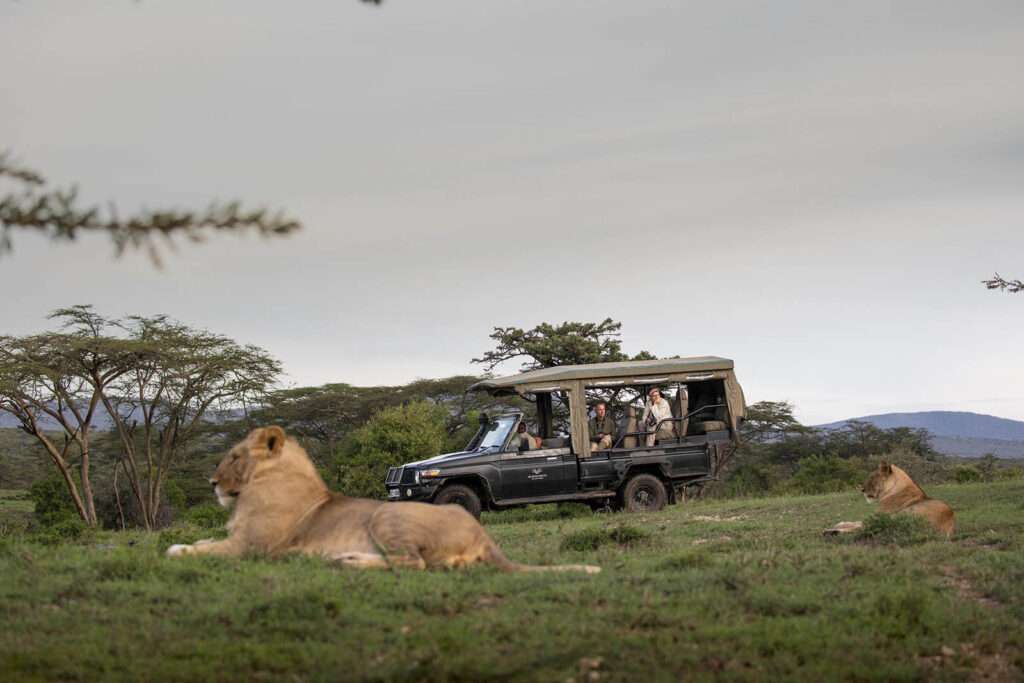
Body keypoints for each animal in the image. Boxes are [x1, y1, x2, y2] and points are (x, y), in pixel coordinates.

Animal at [163, 428, 598, 573]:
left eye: (235, 456)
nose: (212, 482)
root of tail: (485, 537)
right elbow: (202, 541)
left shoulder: (251, 546)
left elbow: (190, 550)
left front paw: (179, 550)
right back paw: (341, 558)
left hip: (388, 516)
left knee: (413, 563)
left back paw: (345, 561)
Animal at [819, 462, 954, 536]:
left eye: (872, 477)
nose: (862, 489)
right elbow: (855, 521)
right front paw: (840, 523)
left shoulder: (878, 516)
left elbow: (857, 523)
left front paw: (836, 526)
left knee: (862, 529)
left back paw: (828, 532)